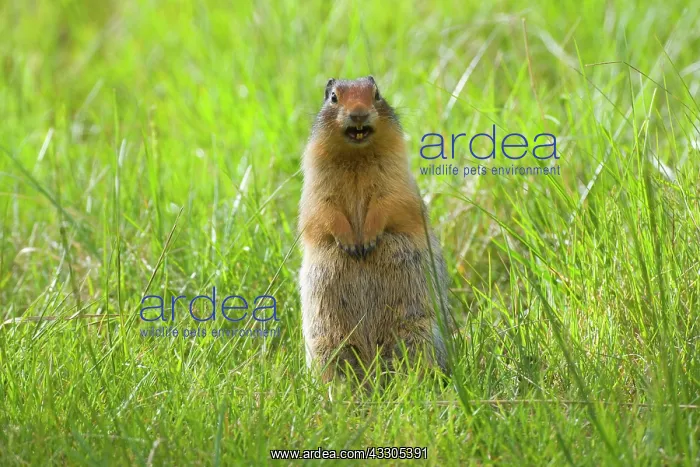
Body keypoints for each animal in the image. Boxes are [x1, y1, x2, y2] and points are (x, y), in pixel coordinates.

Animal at [299, 76, 450, 383]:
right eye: (333, 97)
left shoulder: (397, 176)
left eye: (377, 94)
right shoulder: (315, 184)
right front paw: (351, 243)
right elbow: (322, 211)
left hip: (418, 331)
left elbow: (390, 201)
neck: (357, 157)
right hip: (326, 342)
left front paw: (366, 240)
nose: (358, 113)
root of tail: (373, 369)